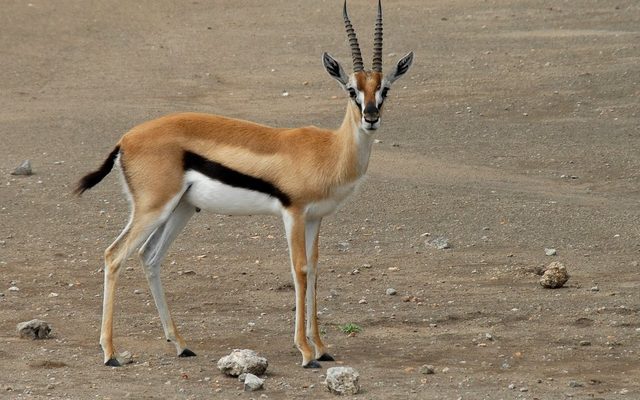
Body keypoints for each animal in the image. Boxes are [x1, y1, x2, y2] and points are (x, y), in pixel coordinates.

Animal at [76, 0, 413, 368]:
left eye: (384, 89)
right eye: (352, 89)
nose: (371, 117)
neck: (330, 150)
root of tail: (125, 139)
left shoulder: (315, 218)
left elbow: (315, 271)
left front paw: (322, 348)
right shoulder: (293, 213)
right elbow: (299, 269)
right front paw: (306, 352)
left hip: (181, 209)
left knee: (150, 256)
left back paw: (181, 344)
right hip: (153, 208)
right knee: (114, 255)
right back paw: (110, 353)